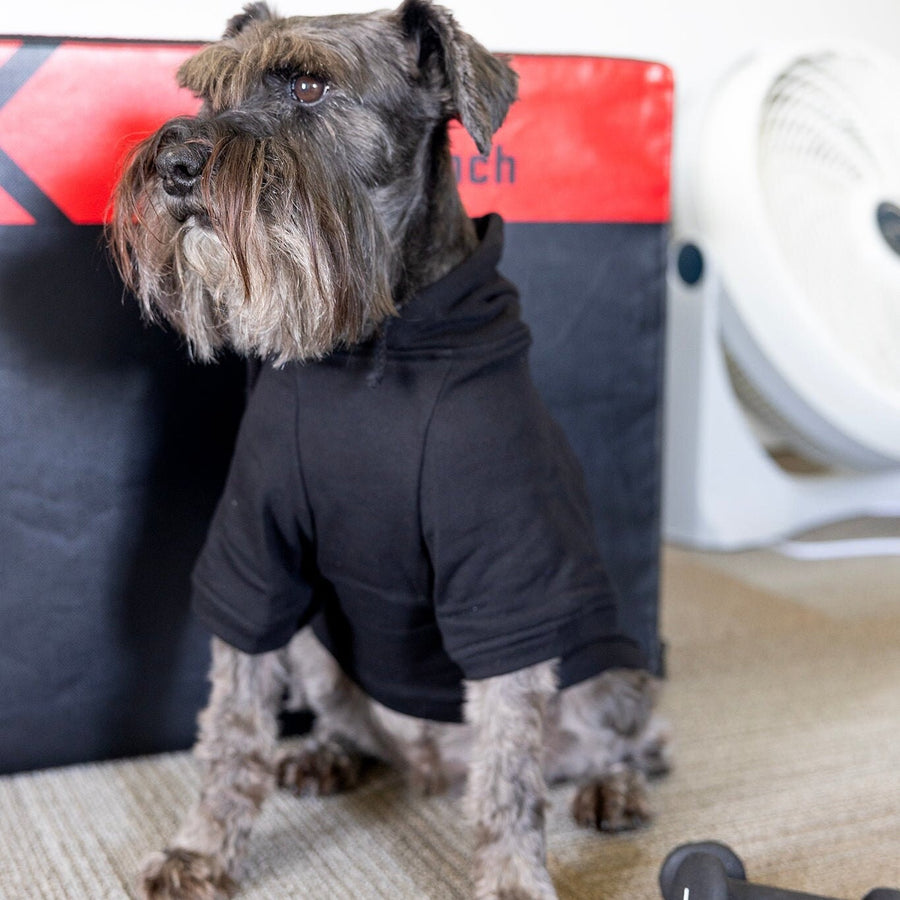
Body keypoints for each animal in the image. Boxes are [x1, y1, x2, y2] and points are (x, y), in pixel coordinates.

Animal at [110, 1, 668, 900]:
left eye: (308, 86)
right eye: (210, 91)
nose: (173, 163)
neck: (367, 335)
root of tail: (434, 764)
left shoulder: (504, 578)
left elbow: (510, 762)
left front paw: (512, 878)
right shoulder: (255, 552)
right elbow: (231, 723)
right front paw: (200, 850)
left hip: (604, 660)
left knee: (624, 742)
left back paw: (611, 788)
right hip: (316, 642)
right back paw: (327, 756)